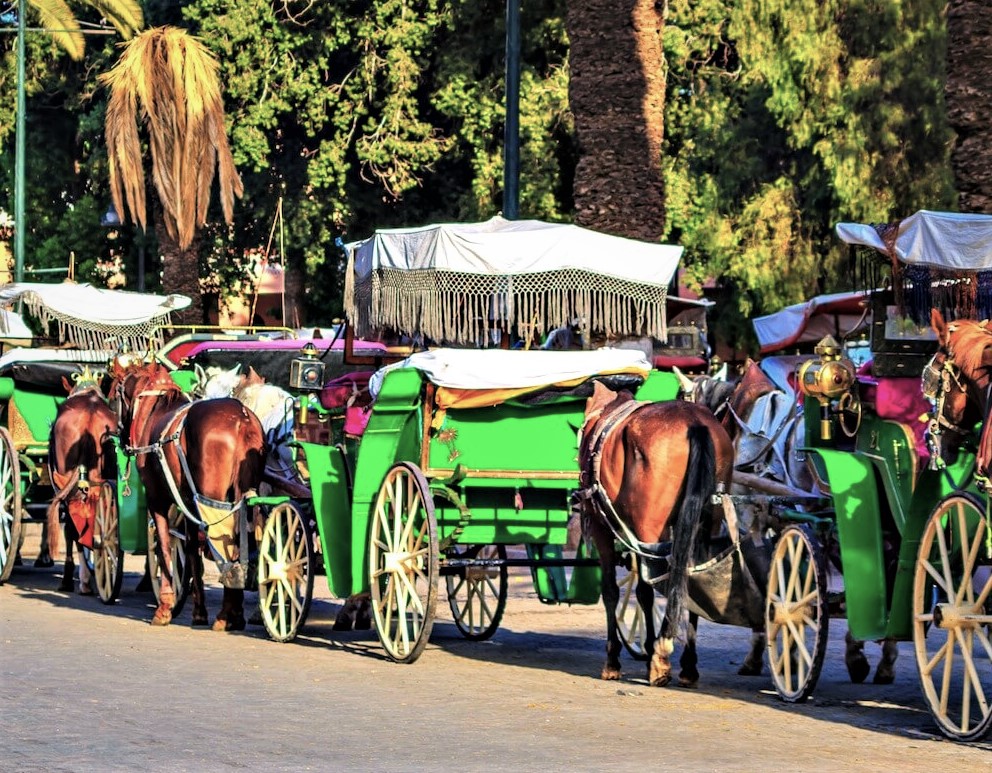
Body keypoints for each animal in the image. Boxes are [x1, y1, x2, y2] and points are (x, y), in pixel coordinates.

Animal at [112, 358, 266, 632]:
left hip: (215, 500)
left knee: (227, 544)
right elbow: (193, 552)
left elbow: (164, 547)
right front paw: (199, 610)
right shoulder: (189, 504)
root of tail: (242, 419)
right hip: (240, 497)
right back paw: (235, 612)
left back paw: (226, 614)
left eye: (113, 394)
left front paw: (165, 606)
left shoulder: (158, 500)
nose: (119, 437)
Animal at [576, 380, 732, 688]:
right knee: (690, 578)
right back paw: (687, 665)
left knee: (658, 582)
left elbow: (615, 591)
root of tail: (695, 422)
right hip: (707, 523)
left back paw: (660, 655)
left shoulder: (603, 528)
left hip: (648, 526)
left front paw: (615, 660)